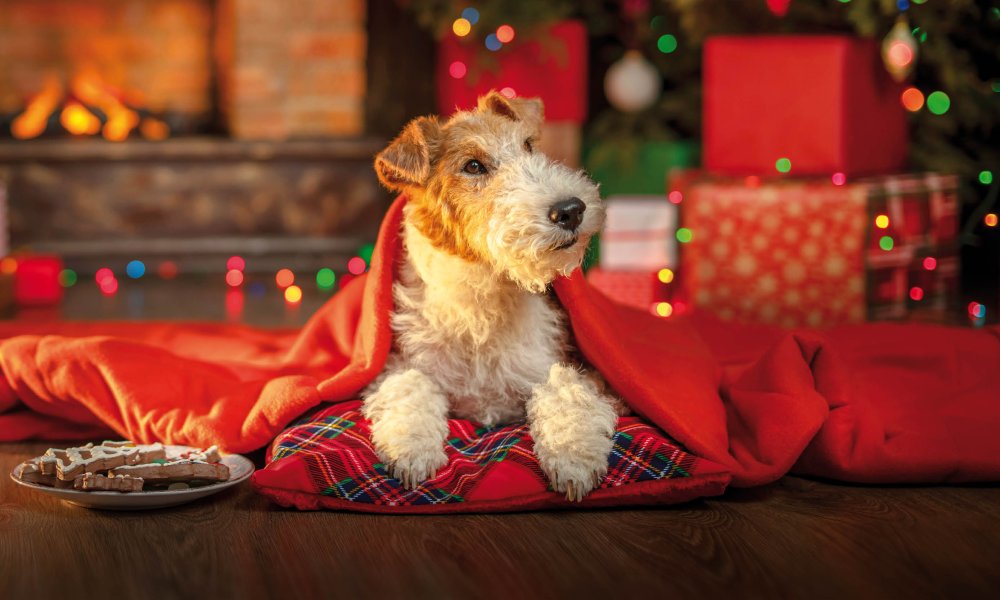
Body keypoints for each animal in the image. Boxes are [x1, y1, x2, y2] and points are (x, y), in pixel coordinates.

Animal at [364, 90, 624, 502]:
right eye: (473, 166)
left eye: (529, 145)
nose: (570, 210)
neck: (480, 302)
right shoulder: (397, 365)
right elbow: (410, 386)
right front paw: (412, 452)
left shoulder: (577, 368)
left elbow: (564, 390)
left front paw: (573, 458)